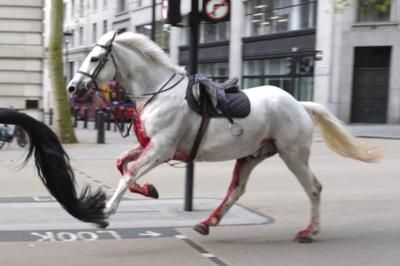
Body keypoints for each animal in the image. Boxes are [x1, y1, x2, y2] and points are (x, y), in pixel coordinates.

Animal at [67, 31, 382, 243]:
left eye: (95, 58)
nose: (72, 88)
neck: (158, 93)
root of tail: (299, 104)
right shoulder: (150, 146)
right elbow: (122, 164)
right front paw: (149, 190)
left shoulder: (161, 149)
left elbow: (129, 173)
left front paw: (105, 213)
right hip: (252, 155)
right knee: (236, 190)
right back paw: (207, 222)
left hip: (292, 155)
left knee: (314, 188)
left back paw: (309, 231)